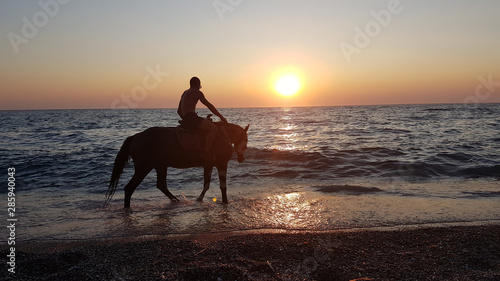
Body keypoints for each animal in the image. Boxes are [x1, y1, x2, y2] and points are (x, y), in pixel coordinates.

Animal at [105, 119, 248, 207]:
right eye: (246, 139)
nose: (242, 158)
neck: (222, 135)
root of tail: (135, 137)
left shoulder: (208, 165)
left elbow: (206, 184)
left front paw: (199, 199)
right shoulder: (221, 164)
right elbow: (222, 186)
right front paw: (225, 201)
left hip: (160, 166)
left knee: (161, 185)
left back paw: (176, 201)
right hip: (143, 167)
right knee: (130, 188)